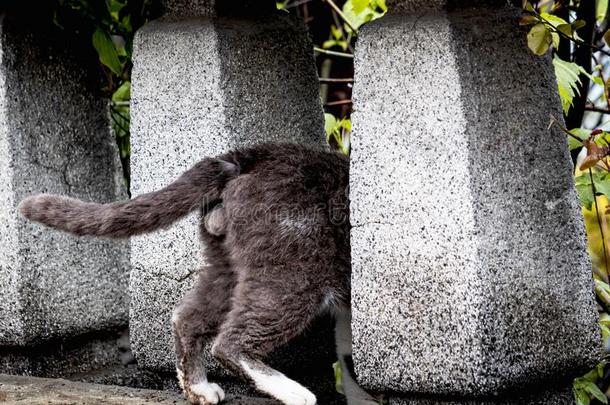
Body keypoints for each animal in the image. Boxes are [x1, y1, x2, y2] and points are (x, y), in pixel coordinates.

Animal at [17, 142, 376, 404]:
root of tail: (240, 158)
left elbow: (353, 367)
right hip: (297, 269)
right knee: (230, 342)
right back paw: (294, 393)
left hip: (228, 265)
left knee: (187, 318)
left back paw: (199, 389)